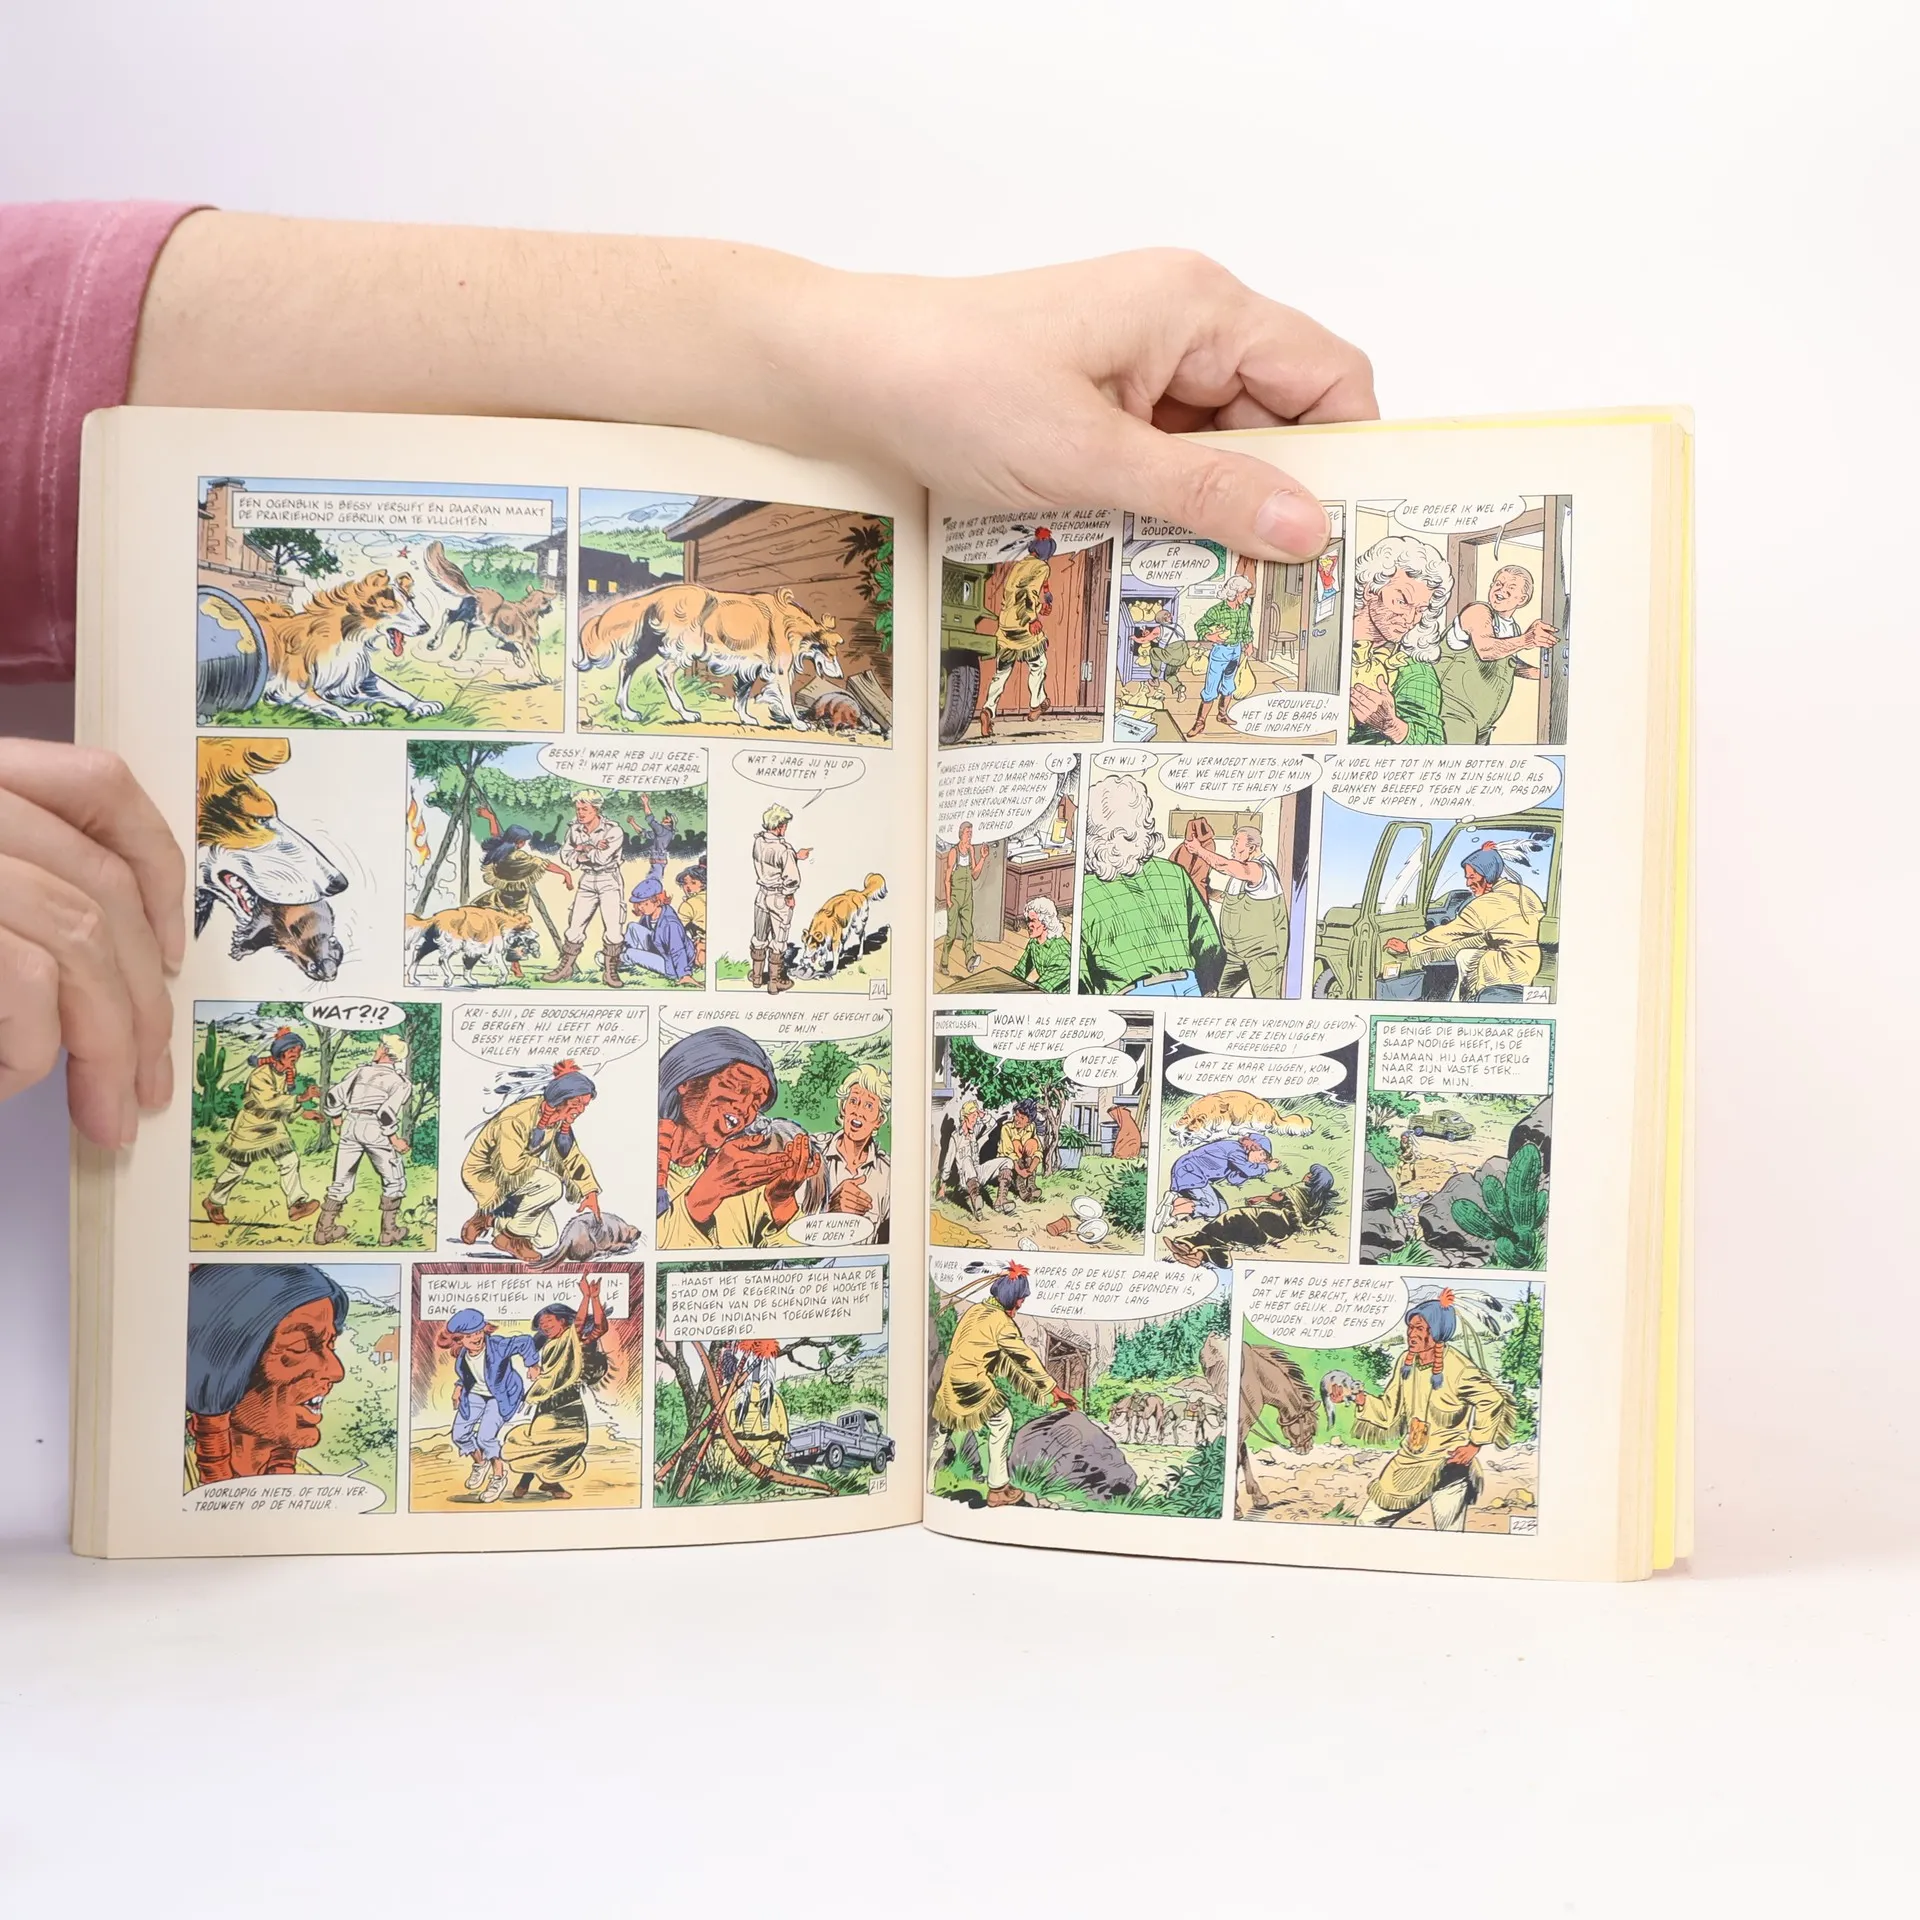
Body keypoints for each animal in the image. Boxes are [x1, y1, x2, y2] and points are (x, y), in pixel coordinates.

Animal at [243, 569, 439, 724]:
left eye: (411, 605)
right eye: (391, 606)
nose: (426, 628)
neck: (348, 637)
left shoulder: (360, 677)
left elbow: (396, 690)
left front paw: (422, 704)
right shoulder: (290, 687)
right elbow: (324, 703)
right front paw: (351, 715)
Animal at [405, 905, 540, 987]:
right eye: (528, 928)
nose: (538, 934)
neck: (503, 925)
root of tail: (436, 917)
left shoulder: (475, 950)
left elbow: (468, 966)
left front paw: (470, 980)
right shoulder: (494, 952)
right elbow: (504, 969)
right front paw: (500, 980)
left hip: (431, 943)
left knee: (418, 955)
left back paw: (412, 979)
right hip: (453, 943)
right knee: (442, 959)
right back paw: (449, 978)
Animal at [422, 541, 552, 680]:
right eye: (548, 603)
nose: (551, 609)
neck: (528, 609)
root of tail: (476, 591)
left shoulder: (504, 640)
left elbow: (515, 650)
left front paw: (519, 661)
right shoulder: (530, 645)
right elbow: (535, 662)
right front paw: (542, 677)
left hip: (466, 612)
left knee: (449, 615)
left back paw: (435, 642)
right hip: (481, 622)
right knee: (466, 627)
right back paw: (457, 651)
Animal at [576, 581, 843, 730]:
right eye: (830, 652)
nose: (840, 675)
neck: (794, 625)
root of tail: (656, 595)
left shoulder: (748, 668)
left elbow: (742, 697)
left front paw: (745, 718)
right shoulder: (779, 670)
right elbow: (786, 700)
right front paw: (798, 723)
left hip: (649, 645)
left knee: (627, 666)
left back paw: (627, 711)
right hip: (685, 647)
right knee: (663, 672)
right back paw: (684, 712)